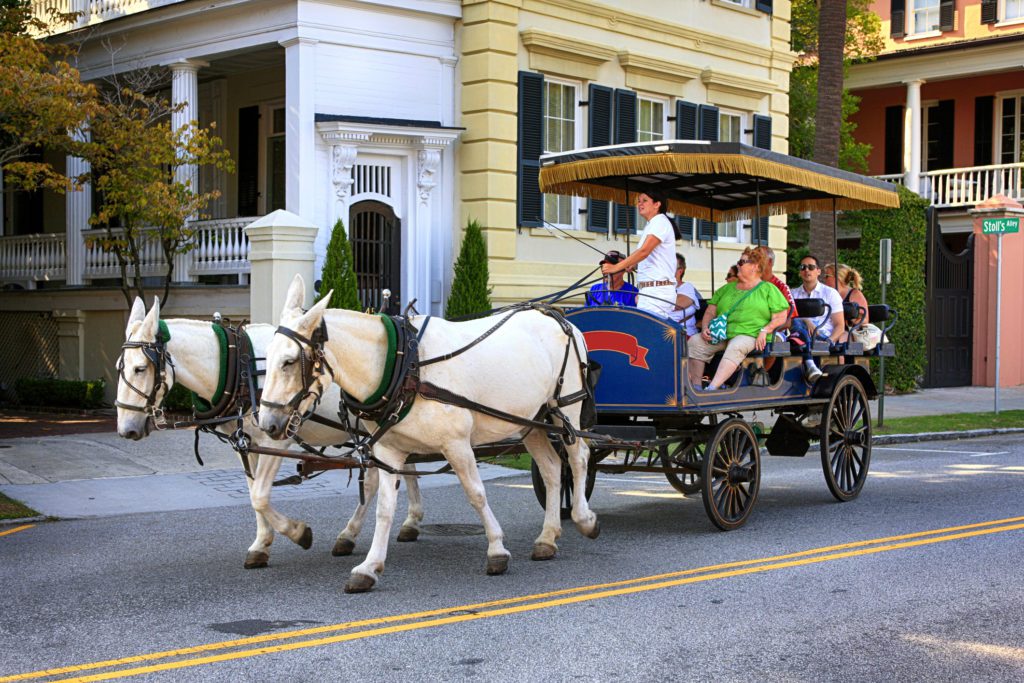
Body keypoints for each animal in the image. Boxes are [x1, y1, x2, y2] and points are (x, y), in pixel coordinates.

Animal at [115, 296, 423, 569]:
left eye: (140, 368)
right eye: (120, 367)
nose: (125, 429)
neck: (238, 368)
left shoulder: (276, 438)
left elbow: (260, 495)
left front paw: (298, 533)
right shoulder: (245, 443)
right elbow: (253, 492)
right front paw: (261, 544)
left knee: (378, 479)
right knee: (399, 470)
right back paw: (403, 523)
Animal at [253, 274, 598, 593]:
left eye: (289, 361)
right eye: (266, 357)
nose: (268, 423)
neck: (405, 365)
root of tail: (559, 318)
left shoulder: (456, 444)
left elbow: (476, 493)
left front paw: (497, 549)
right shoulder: (388, 450)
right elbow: (384, 508)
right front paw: (369, 567)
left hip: (566, 405)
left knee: (578, 457)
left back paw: (584, 518)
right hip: (530, 420)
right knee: (552, 469)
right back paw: (547, 538)